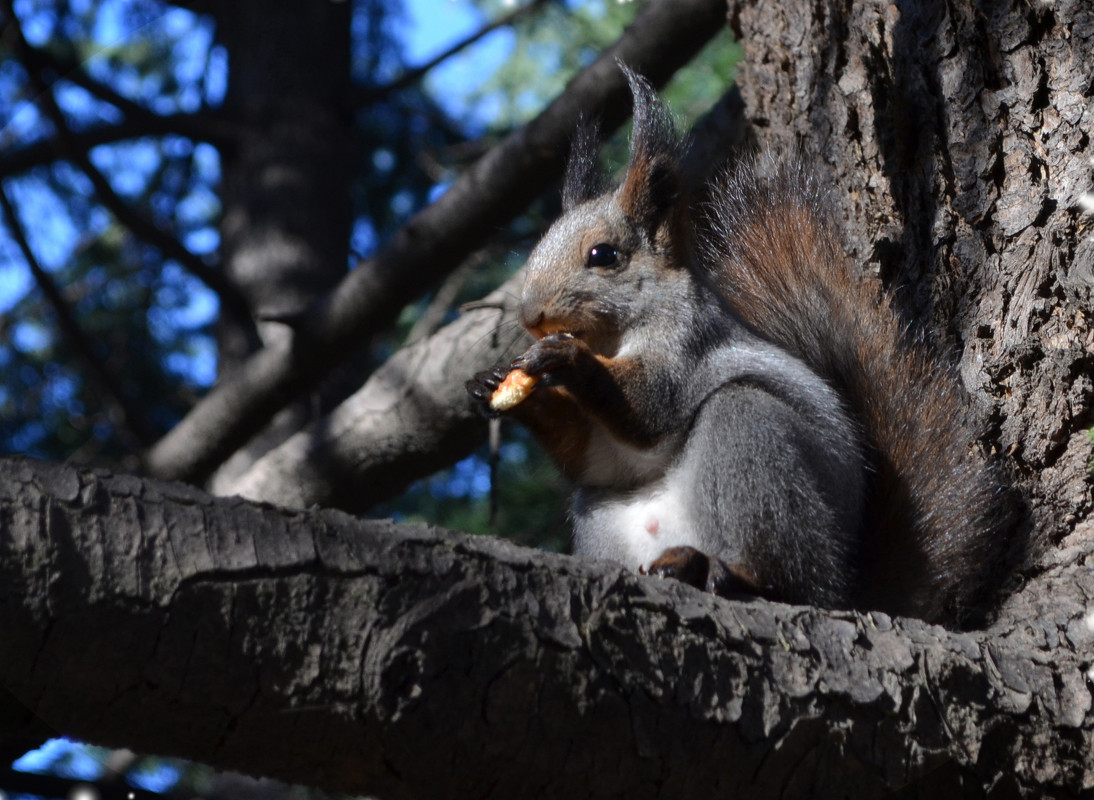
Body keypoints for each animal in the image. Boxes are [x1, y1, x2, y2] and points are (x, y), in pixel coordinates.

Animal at [466, 65, 1010, 630]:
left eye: (603, 255)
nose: (530, 316)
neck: (614, 338)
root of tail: (846, 586)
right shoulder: (603, 457)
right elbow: (590, 456)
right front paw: (495, 387)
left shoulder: (689, 343)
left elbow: (650, 405)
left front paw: (564, 359)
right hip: (602, 515)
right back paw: (679, 567)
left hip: (754, 449)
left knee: (786, 579)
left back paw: (728, 573)